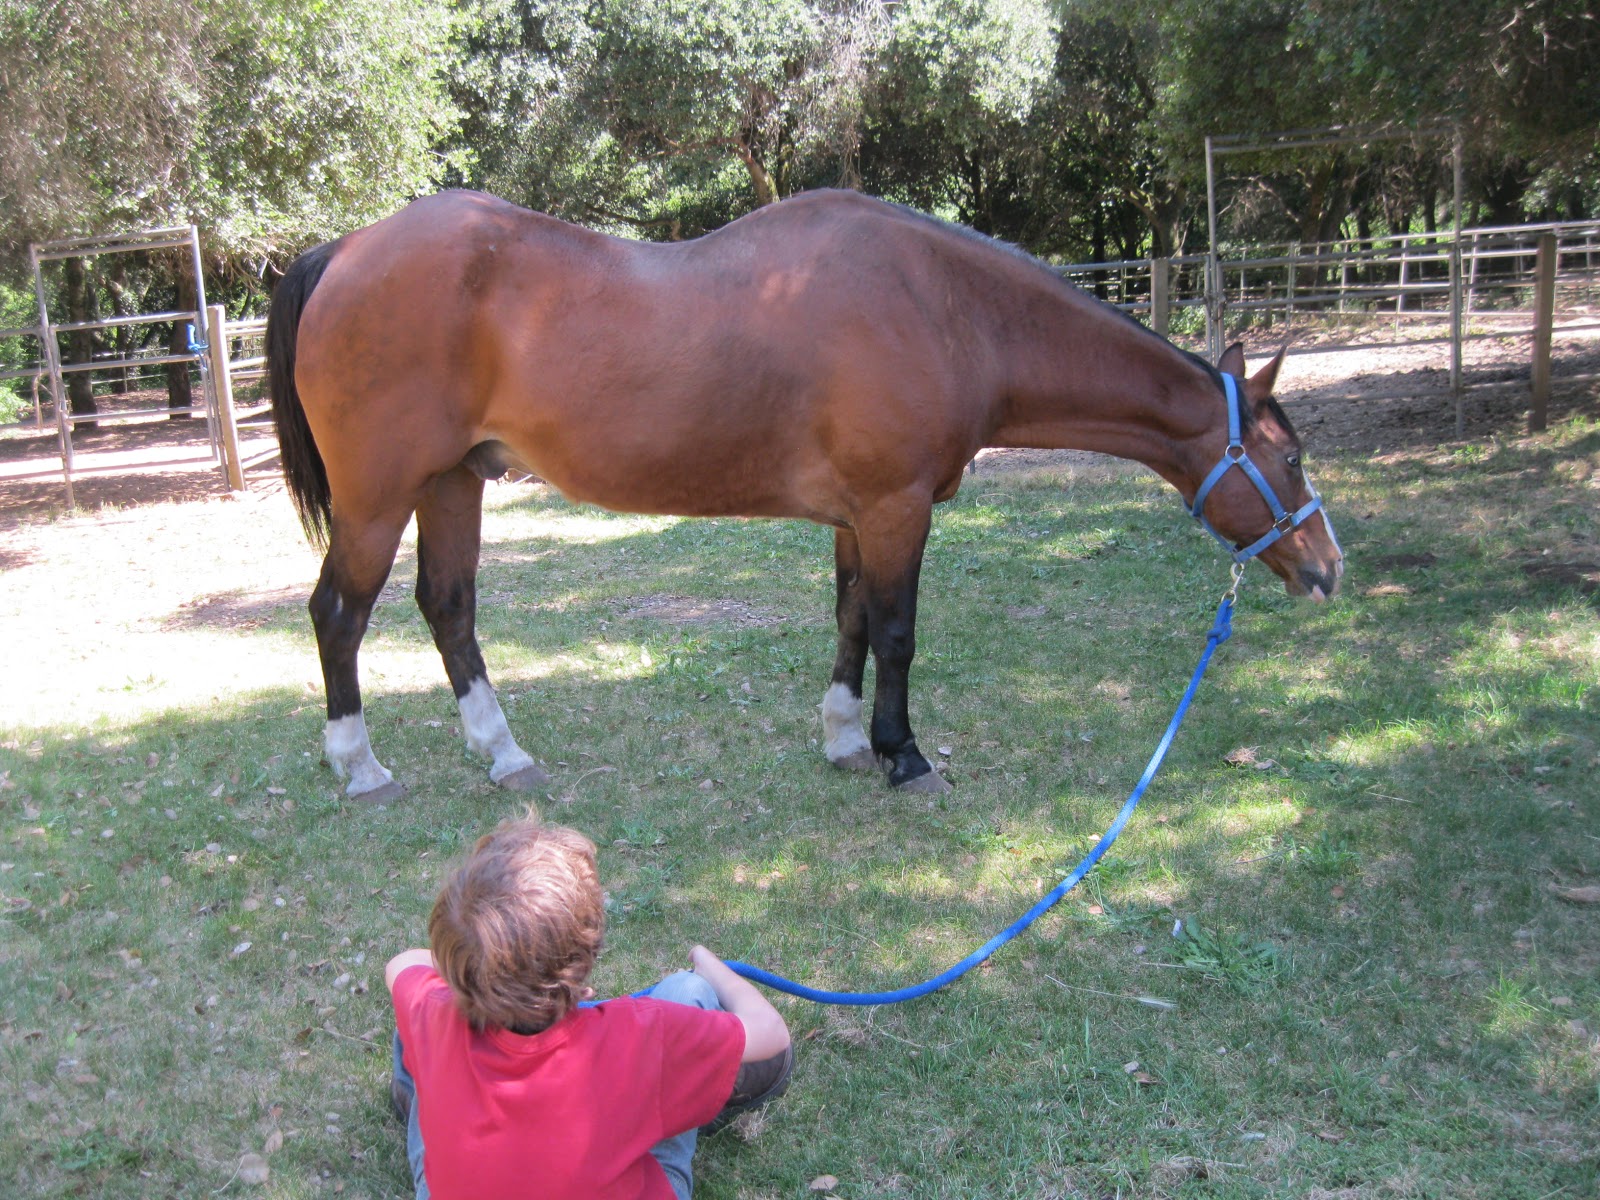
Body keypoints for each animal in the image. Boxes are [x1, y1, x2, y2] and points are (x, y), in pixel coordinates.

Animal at [267, 188, 1342, 804]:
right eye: (1289, 460)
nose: (1327, 569)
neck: (945, 308)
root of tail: (343, 252)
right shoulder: (898, 506)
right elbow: (898, 630)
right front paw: (904, 756)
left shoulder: (858, 517)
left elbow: (852, 620)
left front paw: (843, 740)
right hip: (380, 498)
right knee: (338, 614)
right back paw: (359, 767)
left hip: (454, 483)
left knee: (448, 608)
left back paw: (504, 755)